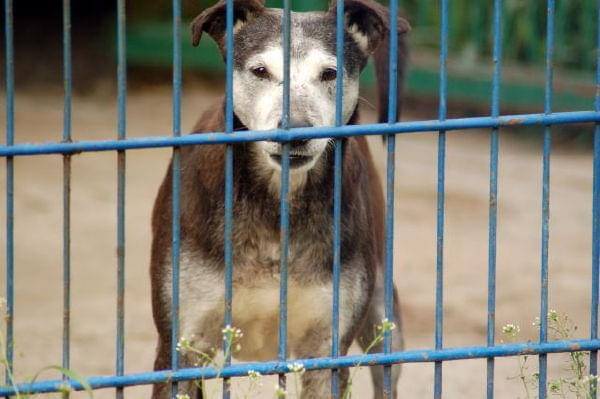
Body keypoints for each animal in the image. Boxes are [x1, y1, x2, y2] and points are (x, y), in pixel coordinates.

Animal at [150, 1, 410, 398]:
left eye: (330, 73)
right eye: (260, 70)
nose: (296, 129)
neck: (277, 204)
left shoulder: (326, 353)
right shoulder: (179, 349)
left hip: (385, 321)